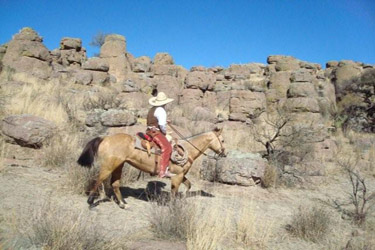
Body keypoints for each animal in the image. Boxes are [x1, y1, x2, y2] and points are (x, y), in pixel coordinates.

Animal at [76, 128, 226, 208]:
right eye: (223, 140)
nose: (224, 153)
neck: (187, 149)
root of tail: (105, 138)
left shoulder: (181, 175)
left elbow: (188, 185)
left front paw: (183, 197)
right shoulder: (177, 176)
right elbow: (174, 192)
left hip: (119, 165)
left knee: (115, 184)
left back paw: (124, 204)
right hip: (109, 166)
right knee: (99, 179)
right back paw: (90, 201)